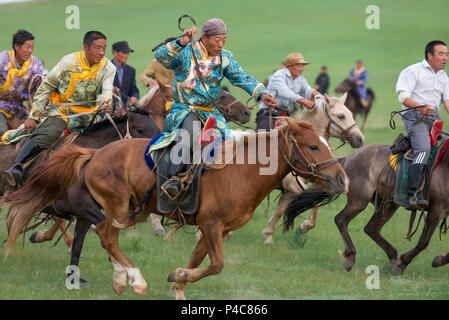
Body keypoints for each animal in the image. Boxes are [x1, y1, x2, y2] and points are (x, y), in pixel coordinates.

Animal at [0, 118, 346, 300]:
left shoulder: (211, 228)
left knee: (103, 235)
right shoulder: (212, 226)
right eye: (313, 146)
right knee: (106, 236)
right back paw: (134, 278)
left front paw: (178, 282)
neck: (240, 170)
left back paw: (119, 277)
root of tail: (94, 154)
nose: (342, 179)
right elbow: (217, 264)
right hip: (117, 206)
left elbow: (198, 260)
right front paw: (176, 278)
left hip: (133, 208)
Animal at [282, 142, 448, 276]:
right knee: (341, 220)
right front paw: (404, 262)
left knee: (371, 228)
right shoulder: (436, 210)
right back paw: (351, 257)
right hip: (359, 201)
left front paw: (439, 260)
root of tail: (350, 157)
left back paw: (393, 257)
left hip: (388, 204)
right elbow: (423, 242)